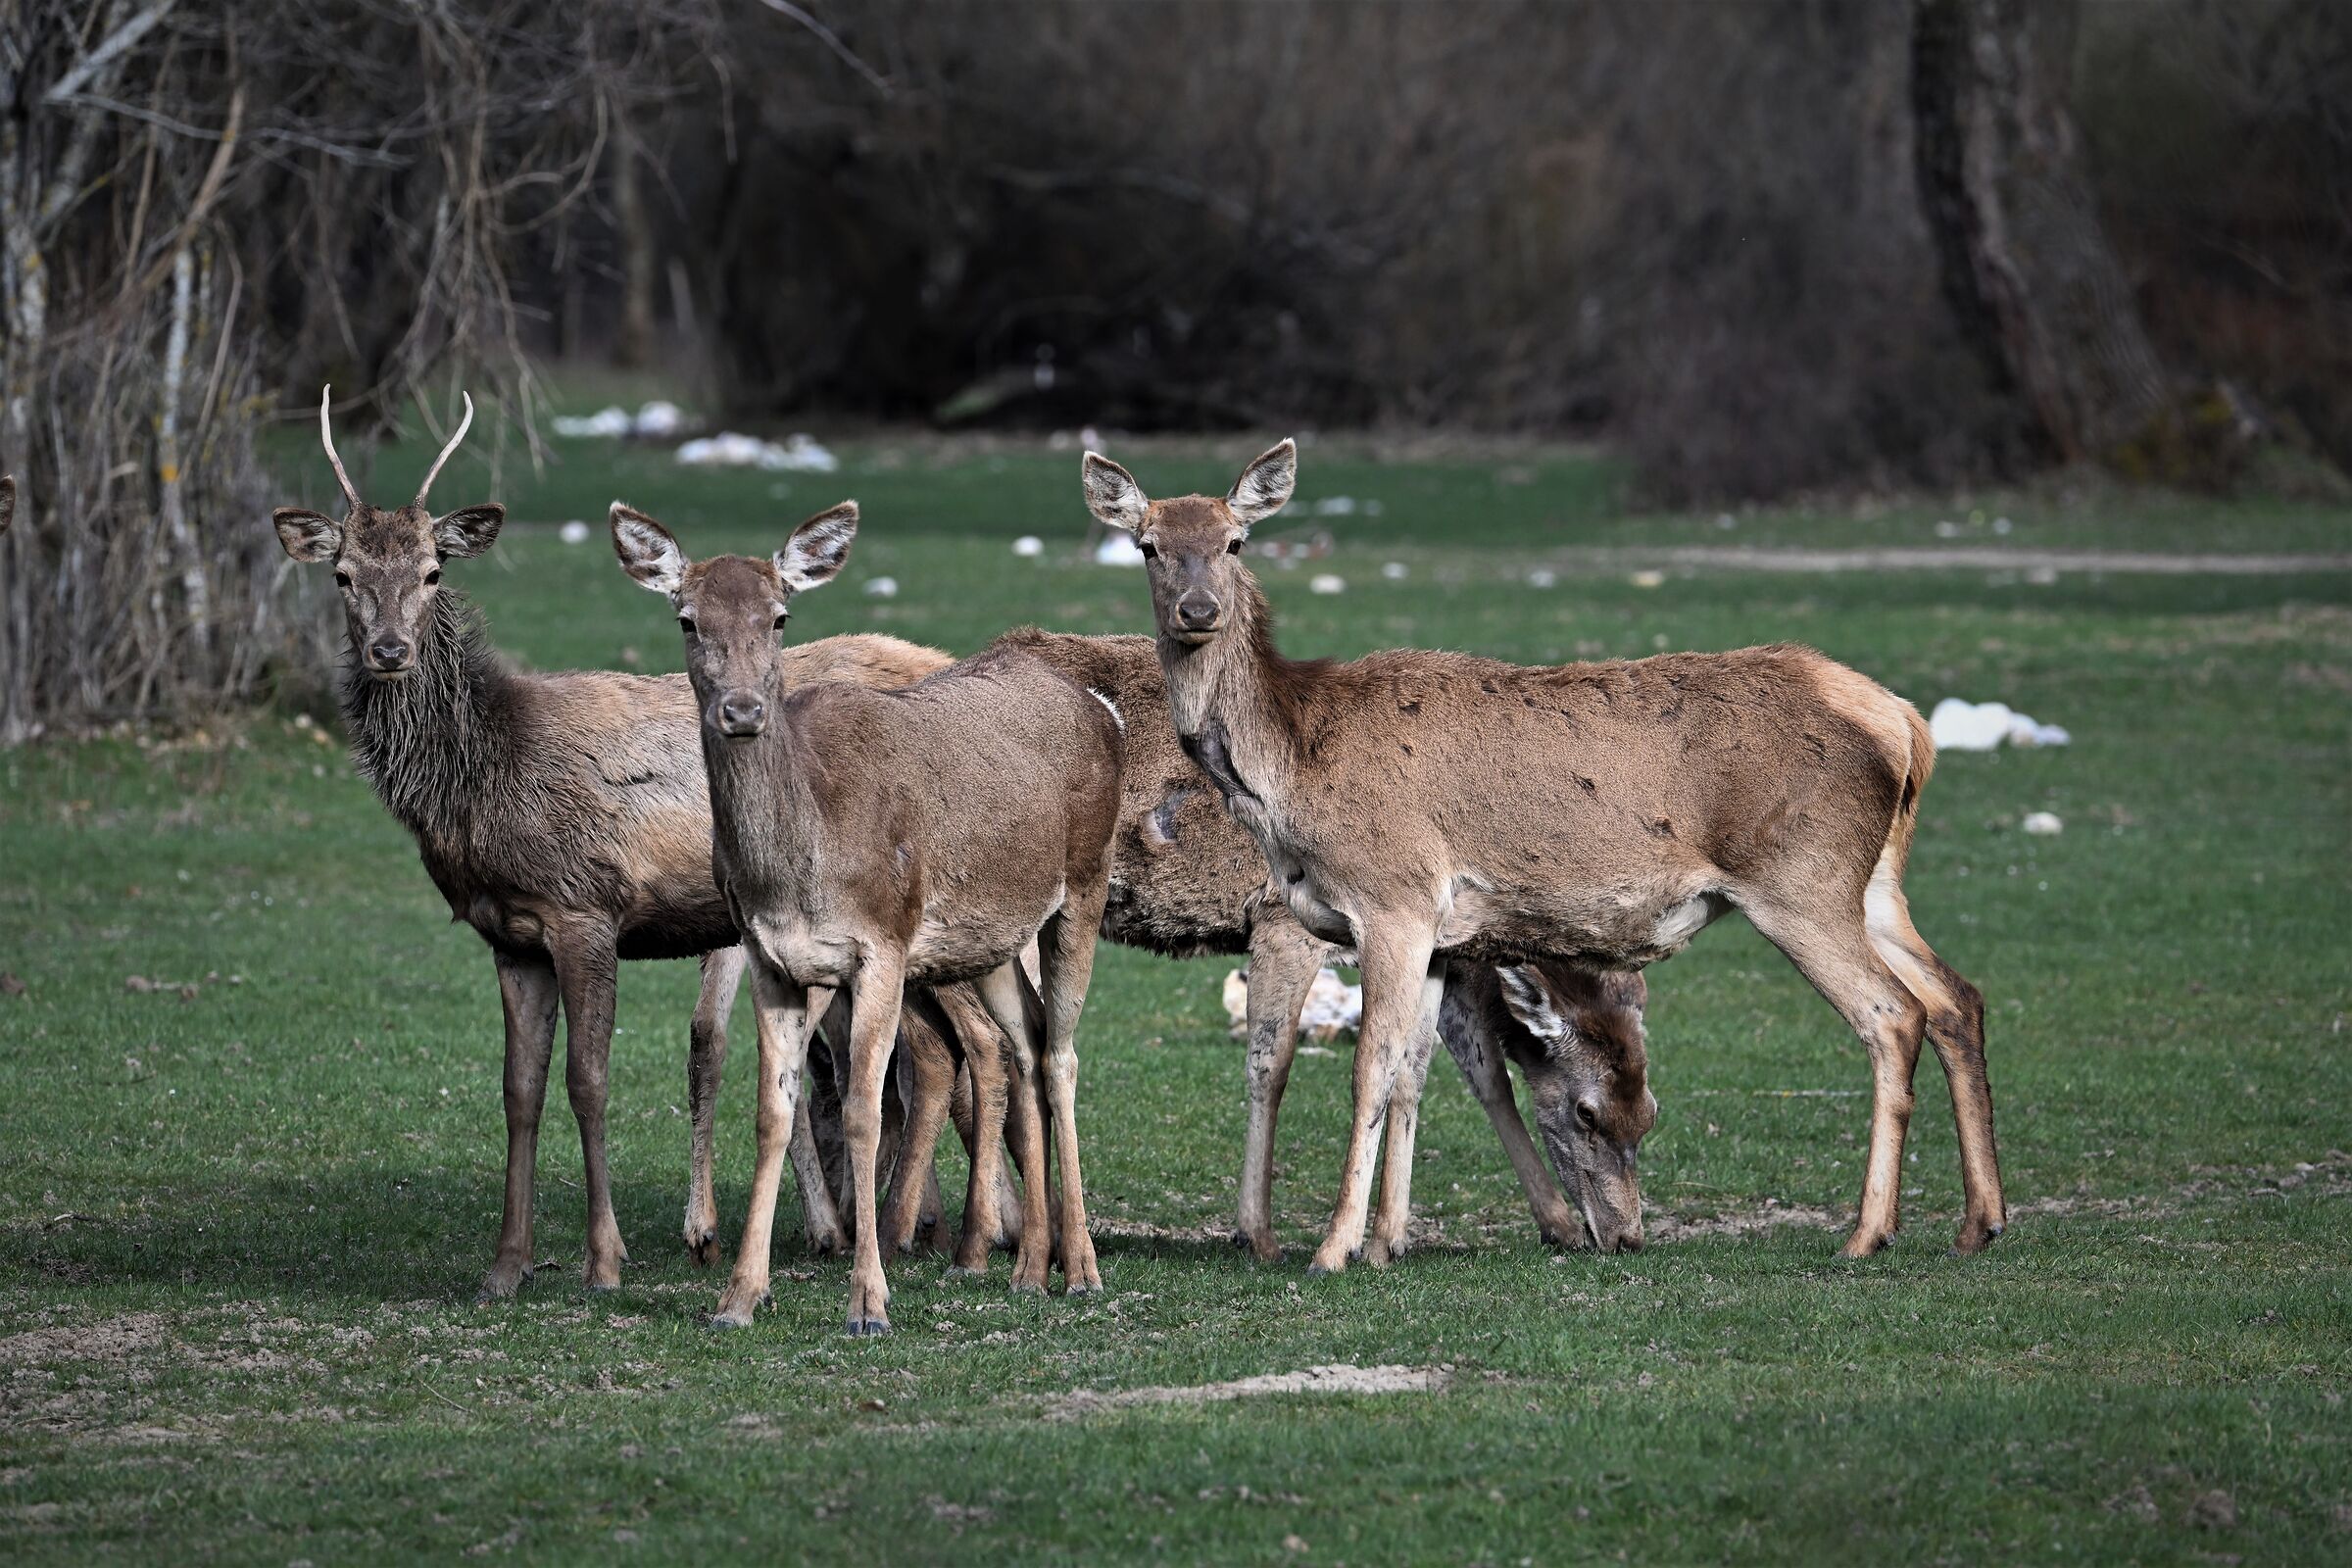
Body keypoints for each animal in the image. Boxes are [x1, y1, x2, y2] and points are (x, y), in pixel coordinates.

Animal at [267, 387, 952, 1302]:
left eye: (433, 571)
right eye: (343, 574)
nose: (389, 650)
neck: (485, 780)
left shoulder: (585, 907)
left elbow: (588, 1083)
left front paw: (604, 1259)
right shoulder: (509, 933)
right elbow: (518, 1090)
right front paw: (505, 1265)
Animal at [612, 500, 1123, 1335]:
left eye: (780, 616)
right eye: (686, 618)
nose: (742, 710)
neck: (801, 868)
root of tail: (1101, 707)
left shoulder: (883, 942)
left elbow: (861, 1109)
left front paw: (870, 1303)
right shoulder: (772, 958)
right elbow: (773, 1112)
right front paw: (739, 1298)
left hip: (1083, 886)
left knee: (1062, 1054)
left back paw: (1080, 1269)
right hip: (989, 942)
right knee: (1023, 1043)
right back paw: (1026, 1270)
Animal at [1082, 440, 2005, 1271]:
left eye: (1236, 540)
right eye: (1149, 545)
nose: (1197, 610)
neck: (1290, 774)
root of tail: (1905, 723)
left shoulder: (1393, 900)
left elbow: (1369, 1071)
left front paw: (1335, 1249)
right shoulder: (1439, 934)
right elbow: (1414, 1074)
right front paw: (1386, 1245)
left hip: (1800, 882)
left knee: (1892, 1015)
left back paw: (1867, 1233)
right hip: (1874, 882)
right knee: (1954, 996)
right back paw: (1979, 1223)